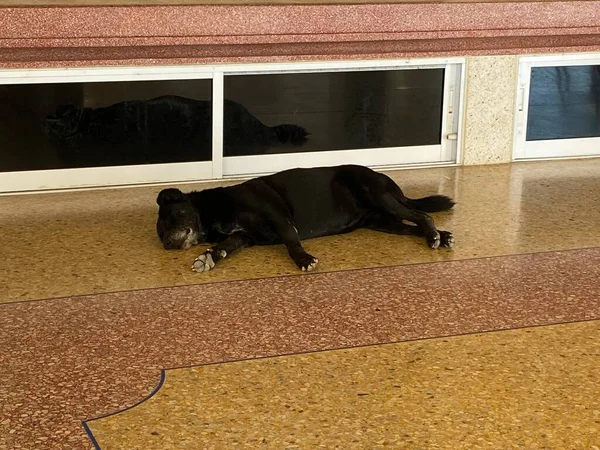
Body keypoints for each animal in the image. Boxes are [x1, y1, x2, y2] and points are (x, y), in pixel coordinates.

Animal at [155, 164, 454, 272]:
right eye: (160, 235)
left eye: (171, 218)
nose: (166, 245)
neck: (213, 212)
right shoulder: (242, 237)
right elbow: (223, 248)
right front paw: (209, 257)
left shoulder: (279, 218)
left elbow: (291, 243)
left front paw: (303, 259)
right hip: (383, 222)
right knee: (412, 226)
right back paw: (441, 236)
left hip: (379, 197)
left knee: (421, 214)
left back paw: (434, 234)